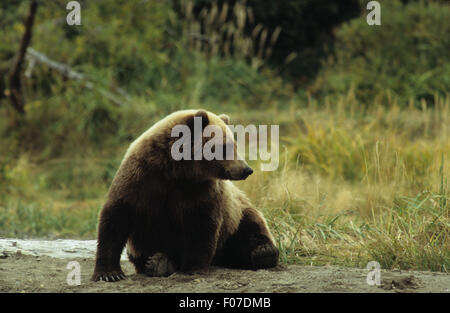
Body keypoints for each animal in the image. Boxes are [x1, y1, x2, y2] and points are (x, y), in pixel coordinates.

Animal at [91, 109, 278, 280]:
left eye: (235, 145)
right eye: (225, 147)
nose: (246, 169)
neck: (176, 170)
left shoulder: (199, 190)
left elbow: (201, 225)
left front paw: (191, 268)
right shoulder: (140, 178)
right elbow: (116, 217)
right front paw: (108, 273)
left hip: (235, 216)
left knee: (251, 227)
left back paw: (264, 252)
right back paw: (158, 263)